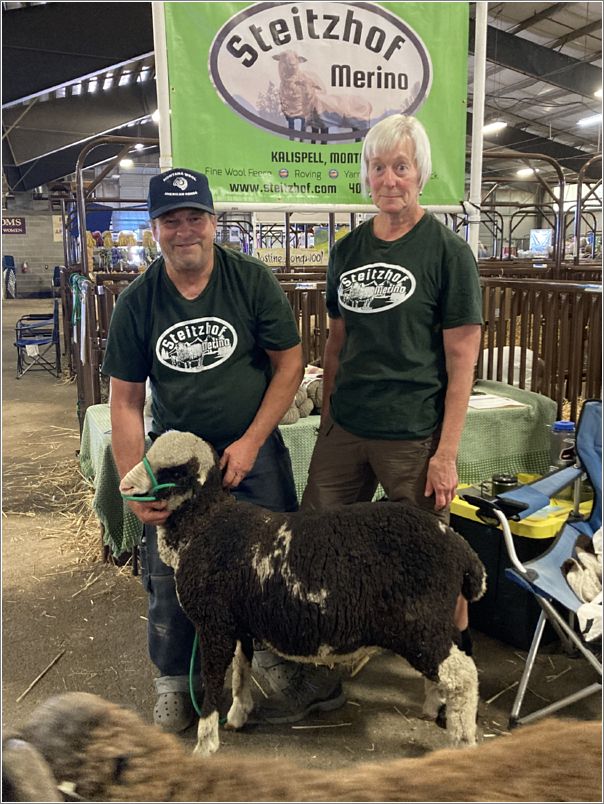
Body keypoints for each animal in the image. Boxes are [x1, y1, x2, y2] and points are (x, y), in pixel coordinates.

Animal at [120, 430, 488, 756]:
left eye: (175, 471)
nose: (125, 485)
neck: (207, 523)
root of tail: (461, 550)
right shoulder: (239, 621)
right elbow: (242, 667)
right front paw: (238, 715)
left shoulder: (214, 625)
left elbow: (212, 683)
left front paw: (205, 744)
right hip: (435, 622)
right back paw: (434, 705)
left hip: (417, 626)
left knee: (463, 676)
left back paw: (462, 741)